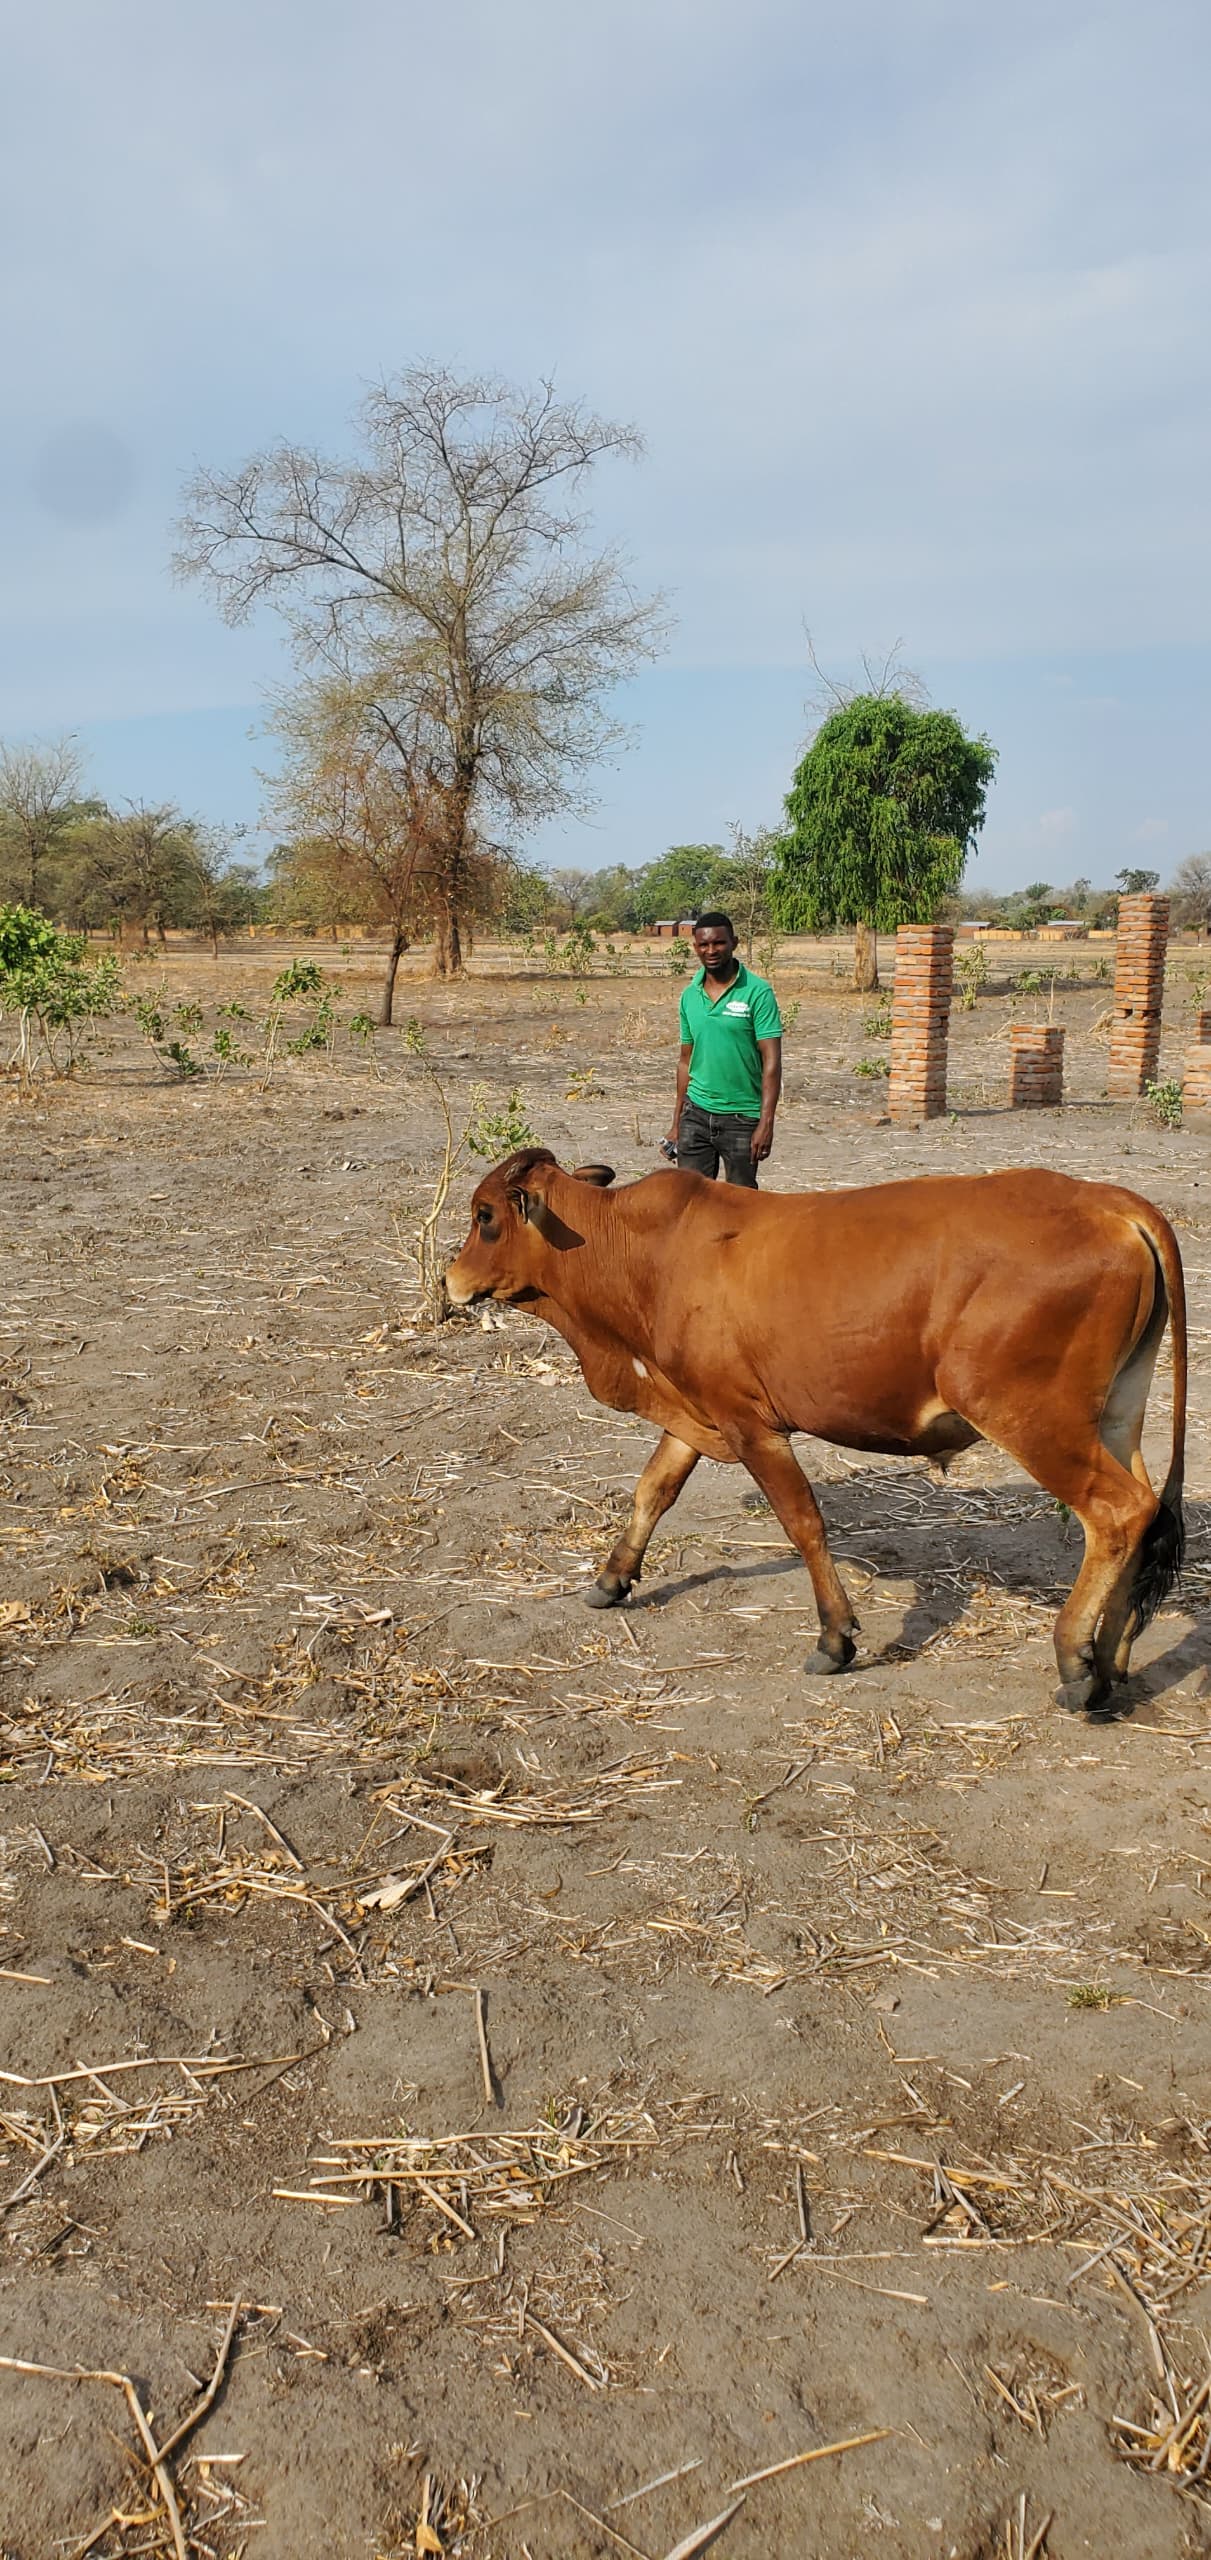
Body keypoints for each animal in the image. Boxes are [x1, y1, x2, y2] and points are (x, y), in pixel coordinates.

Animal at [444, 1151, 1187, 1718]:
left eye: (485, 1217)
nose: (450, 1279)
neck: (640, 1251)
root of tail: (1112, 1204)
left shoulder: (749, 1424)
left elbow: (804, 1524)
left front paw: (835, 1639)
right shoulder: (700, 1408)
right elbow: (653, 1489)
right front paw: (612, 1577)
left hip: (1029, 1418)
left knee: (1117, 1514)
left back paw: (1077, 1663)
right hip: (1116, 1416)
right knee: (1148, 1515)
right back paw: (1110, 1662)